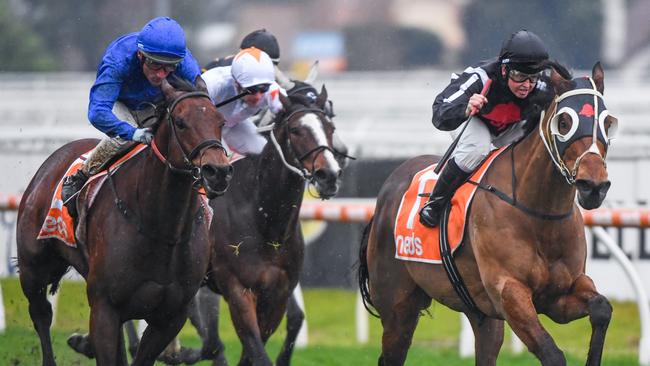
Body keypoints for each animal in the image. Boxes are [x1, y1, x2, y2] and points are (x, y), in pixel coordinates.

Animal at [15, 78, 234, 366]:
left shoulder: (170, 316)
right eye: (181, 122)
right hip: (34, 269)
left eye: (221, 121)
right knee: (41, 315)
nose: (218, 172)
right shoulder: (105, 307)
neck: (163, 228)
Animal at [200, 86, 342, 366]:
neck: (265, 223)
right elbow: (257, 351)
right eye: (296, 129)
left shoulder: (277, 294)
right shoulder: (237, 290)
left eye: (330, 127)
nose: (329, 175)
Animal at [356, 63, 616, 366]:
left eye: (607, 123)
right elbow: (552, 354)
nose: (593, 186)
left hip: (481, 314)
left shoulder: (559, 295)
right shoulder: (510, 293)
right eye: (564, 123)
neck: (540, 214)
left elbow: (602, 307)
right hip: (398, 308)